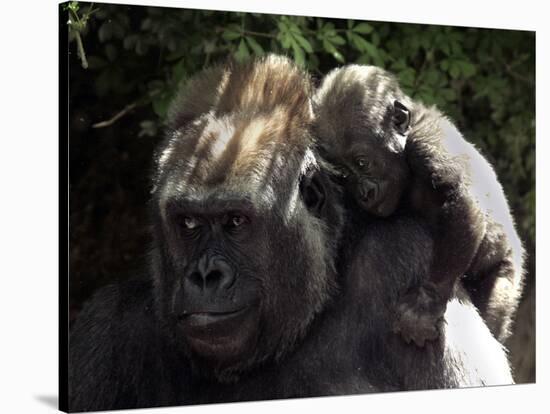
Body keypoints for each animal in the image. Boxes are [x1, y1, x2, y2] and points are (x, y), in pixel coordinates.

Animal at [314, 66, 528, 348]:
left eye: (362, 163)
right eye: (343, 173)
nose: (364, 194)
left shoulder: (427, 143)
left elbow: (460, 199)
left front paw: (426, 303)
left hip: (507, 272)